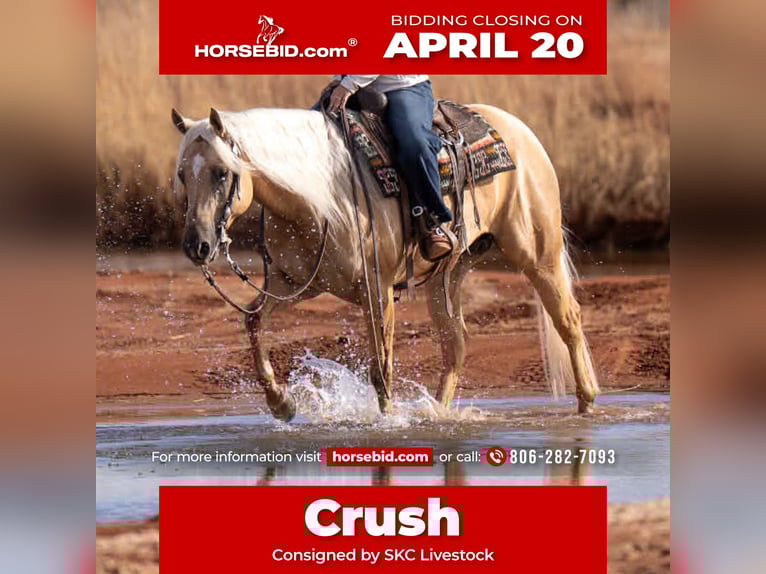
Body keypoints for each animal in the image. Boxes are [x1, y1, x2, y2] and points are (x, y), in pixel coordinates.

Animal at [170, 104, 599, 422]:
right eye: (182, 174)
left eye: (221, 173)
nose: (197, 246)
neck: (318, 197)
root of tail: (521, 131)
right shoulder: (293, 283)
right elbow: (255, 322)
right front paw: (281, 404)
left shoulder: (376, 290)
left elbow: (381, 368)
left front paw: (387, 422)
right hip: (449, 274)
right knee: (455, 345)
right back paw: (436, 413)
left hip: (538, 255)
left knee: (568, 320)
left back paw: (587, 402)